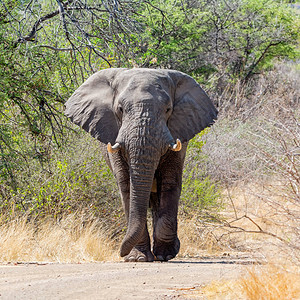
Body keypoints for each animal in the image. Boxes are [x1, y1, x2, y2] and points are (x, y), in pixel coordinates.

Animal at [64, 68, 217, 262]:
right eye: (120, 109)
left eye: (168, 109)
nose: (120, 252)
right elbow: (127, 186)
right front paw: (138, 258)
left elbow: (169, 183)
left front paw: (165, 255)